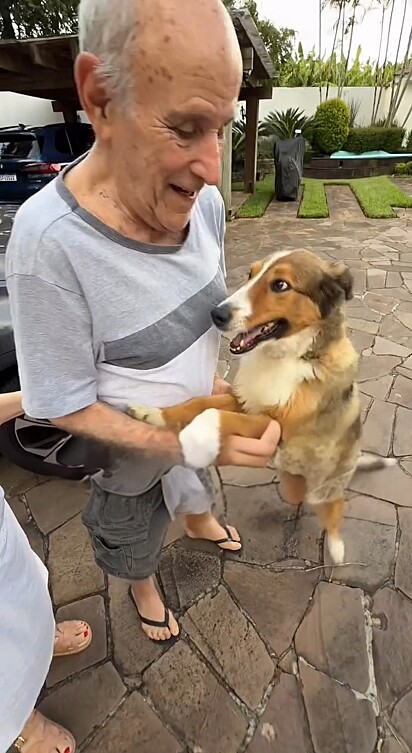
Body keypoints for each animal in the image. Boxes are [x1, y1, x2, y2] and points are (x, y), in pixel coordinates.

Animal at [127, 250, 394, 560]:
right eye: (251, 274)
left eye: (280, 285)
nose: (216, 314)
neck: (287, 357)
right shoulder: (243, 402)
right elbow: (200, 402)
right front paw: (154, 414)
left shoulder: (276, 427)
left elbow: (212, 413)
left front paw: (192, 436)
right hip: (292, 483)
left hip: (326, 489)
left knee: (334, 511)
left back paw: (336, 549)